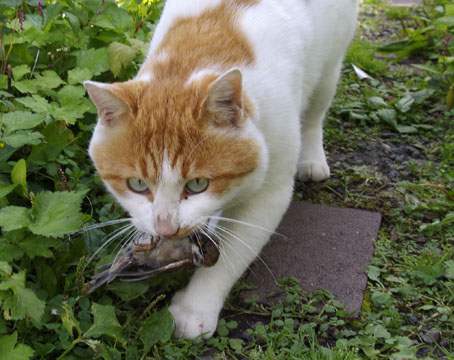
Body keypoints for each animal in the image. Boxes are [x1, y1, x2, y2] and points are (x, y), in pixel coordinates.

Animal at [84, 0, 358, 340]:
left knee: (316, 110)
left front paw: (196, 307)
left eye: (197, 184)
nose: (166, 228)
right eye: (137, 184)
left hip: (330, 65)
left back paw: (311, 158)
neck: (191, 60)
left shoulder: (270, 193)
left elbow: (230, 256)